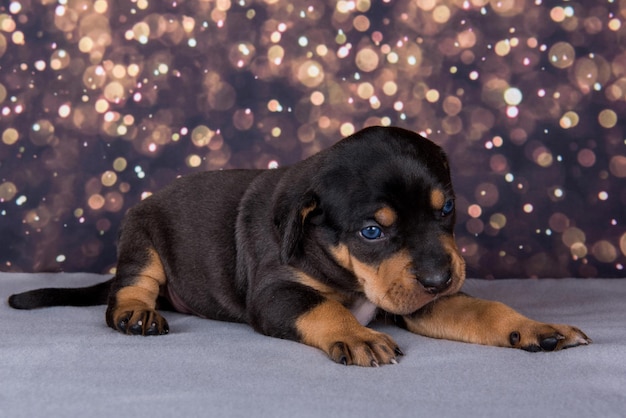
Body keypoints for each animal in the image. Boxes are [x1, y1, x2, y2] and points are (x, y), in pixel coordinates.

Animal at [8, 126, 588, 366]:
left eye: (445, 209)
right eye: (371, 232)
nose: (440, 279)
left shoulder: (417, 300)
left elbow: (483, 310)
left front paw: (538, 329)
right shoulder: (277, 293)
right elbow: (324, 308)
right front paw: (356, 335)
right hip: (142, 235)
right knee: (127, 290)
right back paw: (135, 314)